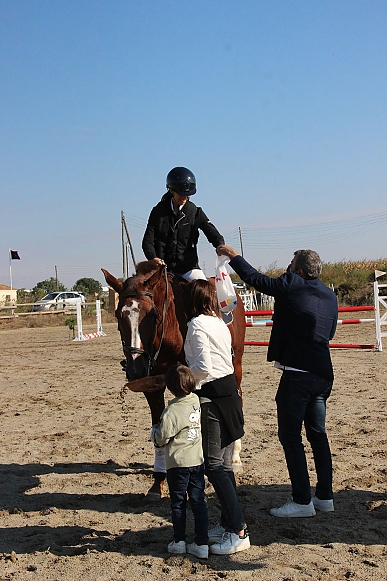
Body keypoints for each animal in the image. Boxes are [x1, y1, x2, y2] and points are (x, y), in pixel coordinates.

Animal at [101, 260, 247, 496]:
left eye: (152, 315)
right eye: (117, 314)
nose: (135, 369)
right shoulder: (152, 387)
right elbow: (157, 430)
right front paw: (158, 483)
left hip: (236, 365)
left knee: (237, 399)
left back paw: (234, 458)